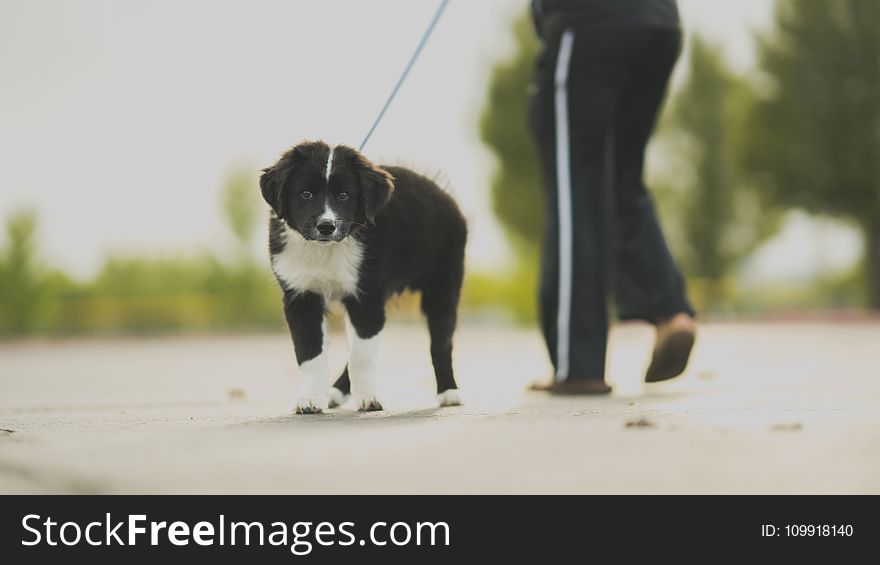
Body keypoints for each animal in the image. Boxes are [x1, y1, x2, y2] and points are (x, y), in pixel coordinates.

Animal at [260, 141, 468, 414]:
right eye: (305, 194)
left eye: (343, 195)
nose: (326, 227)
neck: (326, 250)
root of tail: (443, 193)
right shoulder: (301, 296)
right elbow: (309, 352)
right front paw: (310, 399)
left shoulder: (367, 297)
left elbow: (362, 356)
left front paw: (369, 398)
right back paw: (336, 392)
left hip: (443, 285)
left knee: (441, 342)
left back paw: (449, 392)